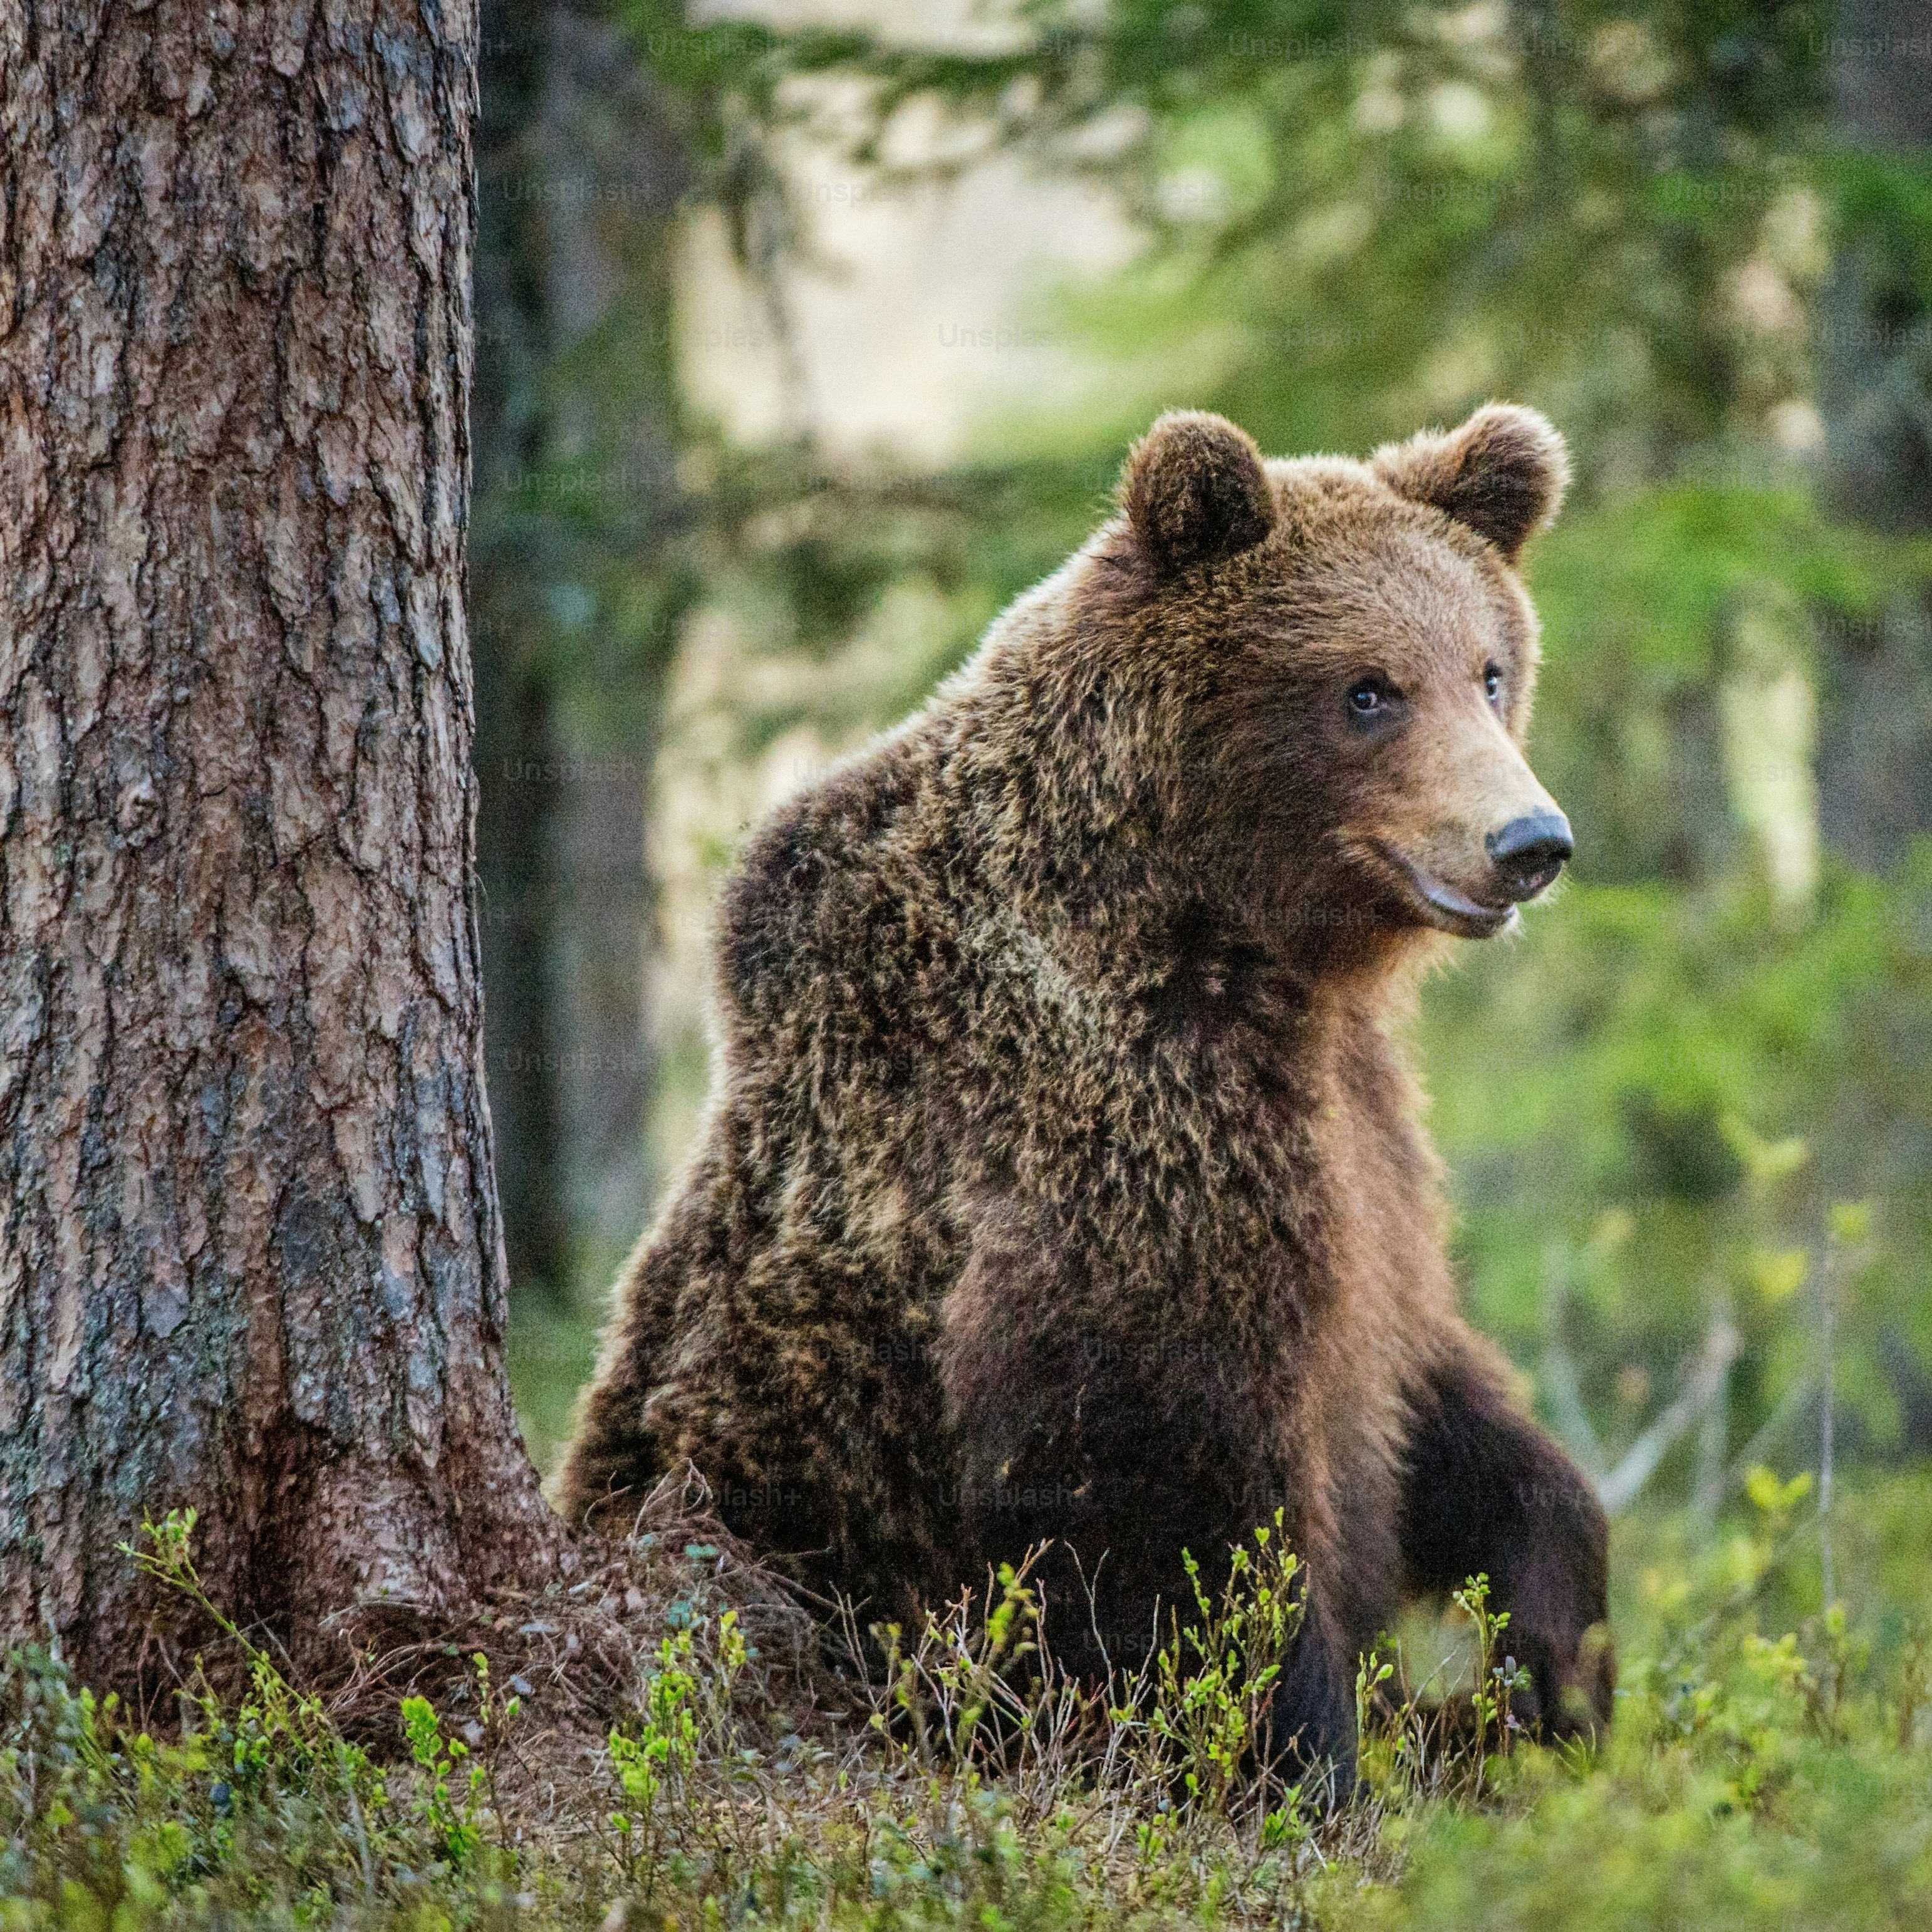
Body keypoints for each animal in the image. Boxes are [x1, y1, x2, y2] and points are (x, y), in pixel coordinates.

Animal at [558, 402, 1614, 1780]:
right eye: (1367, 688)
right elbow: (1170, 1505)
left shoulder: (1364, 1138)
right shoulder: (1120, 1129)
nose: (1527, 842)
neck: (1238, 939)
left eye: (1489, 668)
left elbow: (1430, 1387)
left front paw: (1559, 1653)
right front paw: (1295, 1759)